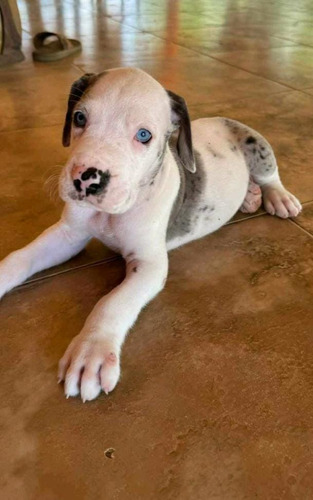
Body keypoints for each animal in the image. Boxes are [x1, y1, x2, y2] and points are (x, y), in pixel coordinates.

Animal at [0, 67, 302, 402]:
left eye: (144, 135)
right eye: (79, 118)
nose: (87, 179)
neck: (113, 212)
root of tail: (223, 119)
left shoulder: (149, 265)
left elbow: (112, 302)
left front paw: (91, 351)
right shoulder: (69, 236)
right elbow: (19, 258)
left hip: (256, 146)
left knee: (270, 175)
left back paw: (278, 197)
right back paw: (249, 197)